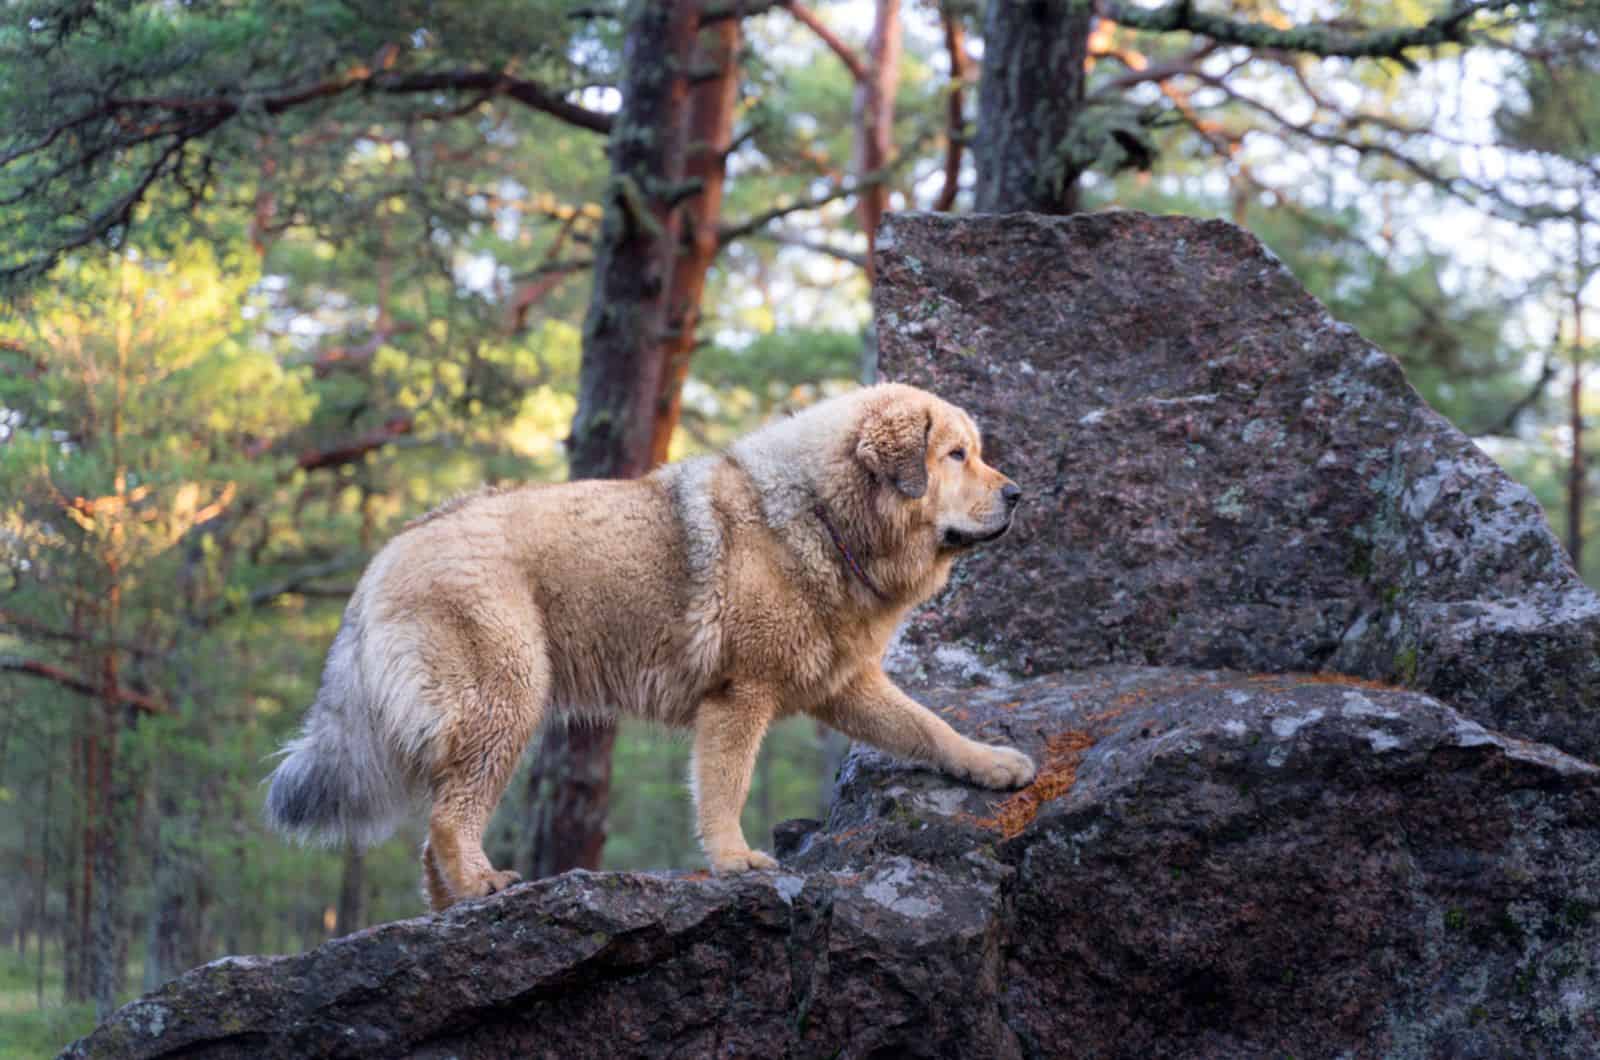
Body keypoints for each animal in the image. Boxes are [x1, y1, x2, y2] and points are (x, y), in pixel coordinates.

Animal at [267, 384, 1030, 915]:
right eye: (955, 455)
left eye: (975, 451)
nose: (1019, 492)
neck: (822, 514)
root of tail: (385, 556)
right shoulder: (738, 698)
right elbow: (725, 786)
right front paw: (733, 858)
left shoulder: (845, 685)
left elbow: (928, 727)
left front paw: (989, 763)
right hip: (504, 701)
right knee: (449, 821)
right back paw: (482, 883)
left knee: (432, 841)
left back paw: (454, 907)